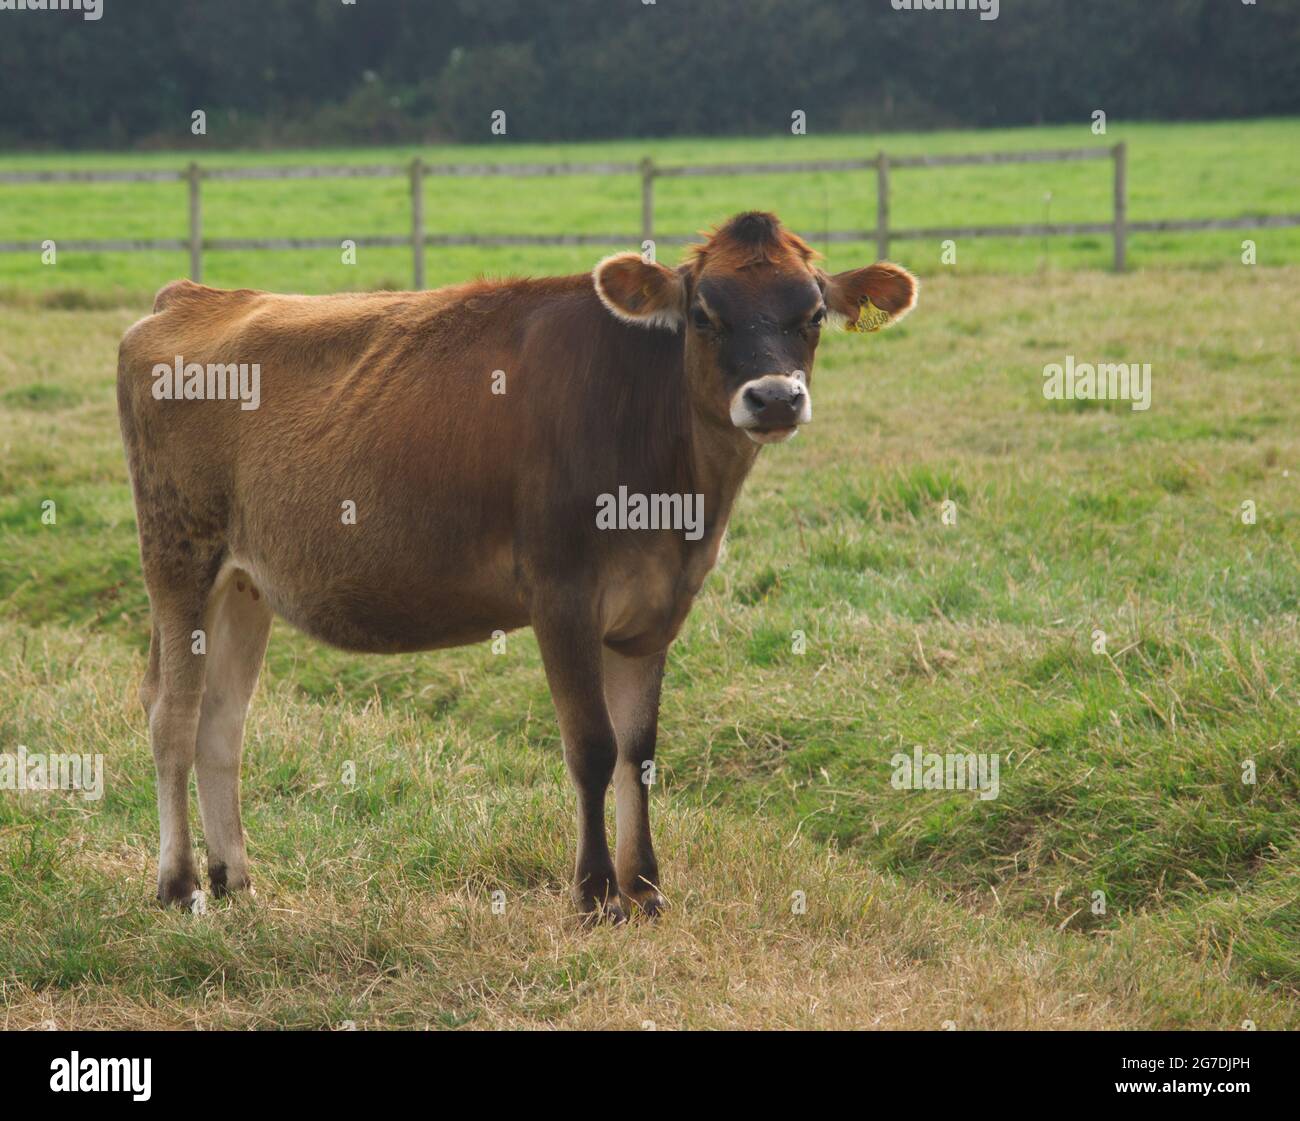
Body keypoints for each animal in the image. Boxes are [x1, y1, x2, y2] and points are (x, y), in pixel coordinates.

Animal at [116, 211, 917, 922]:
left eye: (813, 314)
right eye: (703, 315)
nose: (775, 398)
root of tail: (195, 294)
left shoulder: (655, 608)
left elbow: (639, 751)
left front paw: (646, 890)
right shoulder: (561, 593)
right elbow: (592, 746)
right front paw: (595, 897)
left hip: (244, 582)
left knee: (222, 717)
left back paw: (236, 878)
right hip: (178, 554)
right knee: (172, 712)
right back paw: (179, 885)